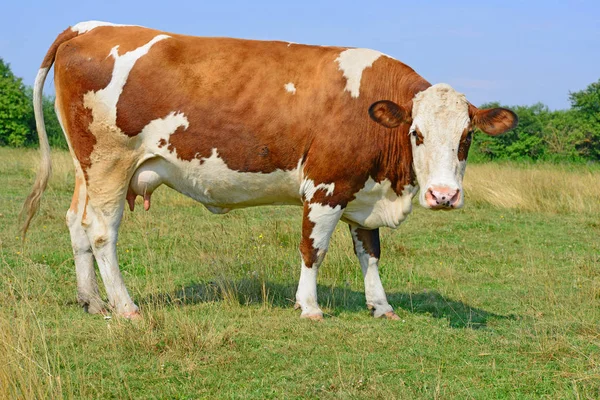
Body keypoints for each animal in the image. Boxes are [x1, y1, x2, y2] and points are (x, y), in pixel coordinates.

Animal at [22, 21, 516, 322]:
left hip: (86, 167)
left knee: (77, 222)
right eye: (417, 133)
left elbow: (370, 253)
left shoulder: (362, 190)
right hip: (110, 162)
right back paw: (125, 307)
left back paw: (92, 302)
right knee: (102, 231)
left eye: (467, 137)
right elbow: (313, 250)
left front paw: (381, 306)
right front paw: (310, 307)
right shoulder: (325, 187)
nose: (443, 196)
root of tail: (91, 26)